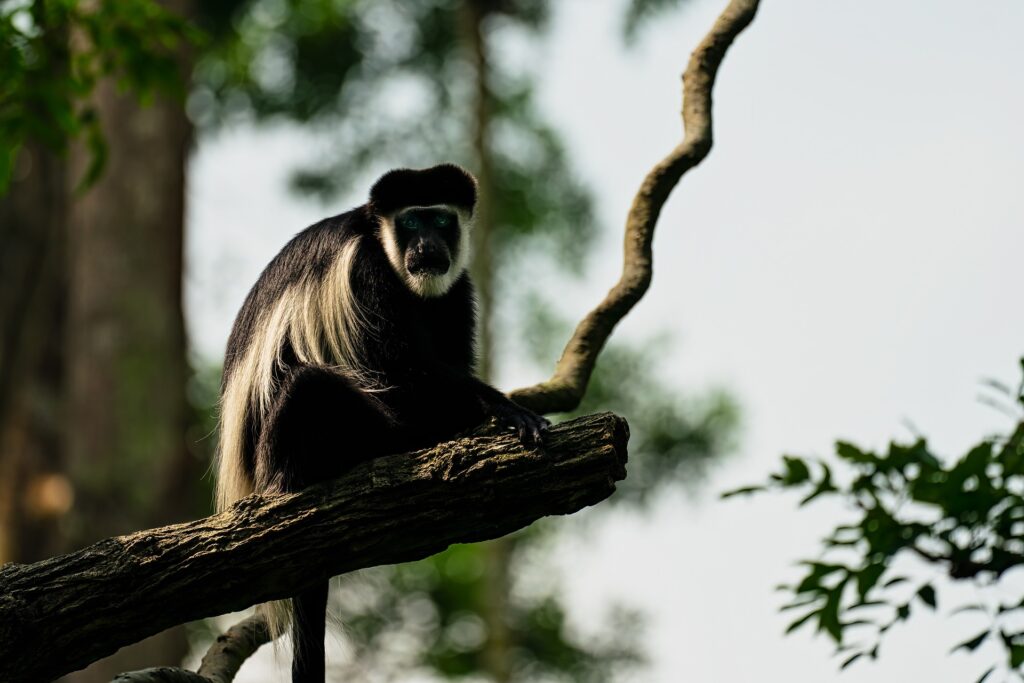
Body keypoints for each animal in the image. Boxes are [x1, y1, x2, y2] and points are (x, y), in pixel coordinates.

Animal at [215, 163, 548, 683]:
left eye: (440, 219)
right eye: (411, 222)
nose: (426, 247)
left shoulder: (458, 287)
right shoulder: (364, 269)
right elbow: (396, 363)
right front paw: (503, 409)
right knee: (310, 387)